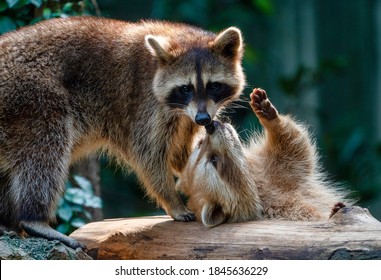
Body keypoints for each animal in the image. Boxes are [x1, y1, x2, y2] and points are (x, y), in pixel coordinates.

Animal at [0, 16, 243, 248]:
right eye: (185, 88)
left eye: (213, 86)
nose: (203, 119)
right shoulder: (144, 103)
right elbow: (148, 155)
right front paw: (172, 200)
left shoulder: (188, 116)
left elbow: (180, 153)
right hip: (33, 97)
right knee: (45, 153)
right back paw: (34, 218)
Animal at [177, 88, 352, 226]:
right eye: (214, 160)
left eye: (200, 143)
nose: (211, 126)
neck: (253, 179)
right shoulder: (279, 209)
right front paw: (331, 213)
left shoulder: (276, 169)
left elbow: (294, 145)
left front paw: (271, 118)